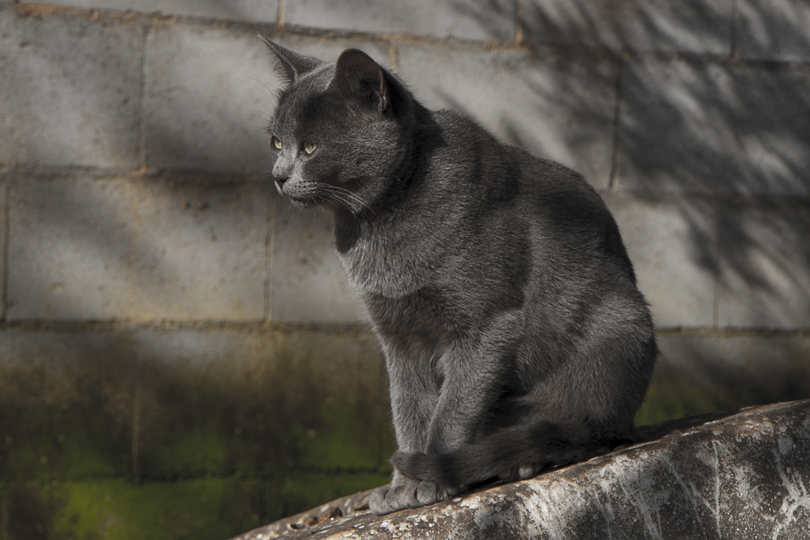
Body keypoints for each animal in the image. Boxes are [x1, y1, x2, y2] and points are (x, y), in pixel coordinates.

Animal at [262, 39, 652, 516]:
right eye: (277, 141)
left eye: (312, 147)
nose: (278, 176)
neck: (378, 225)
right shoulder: (398, 336)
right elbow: (408, 408)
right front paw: (400, 486)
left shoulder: (488, 325)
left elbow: (451, 409)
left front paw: (428, 479)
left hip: (619, 326)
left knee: (584, 432)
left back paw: (525, 458)